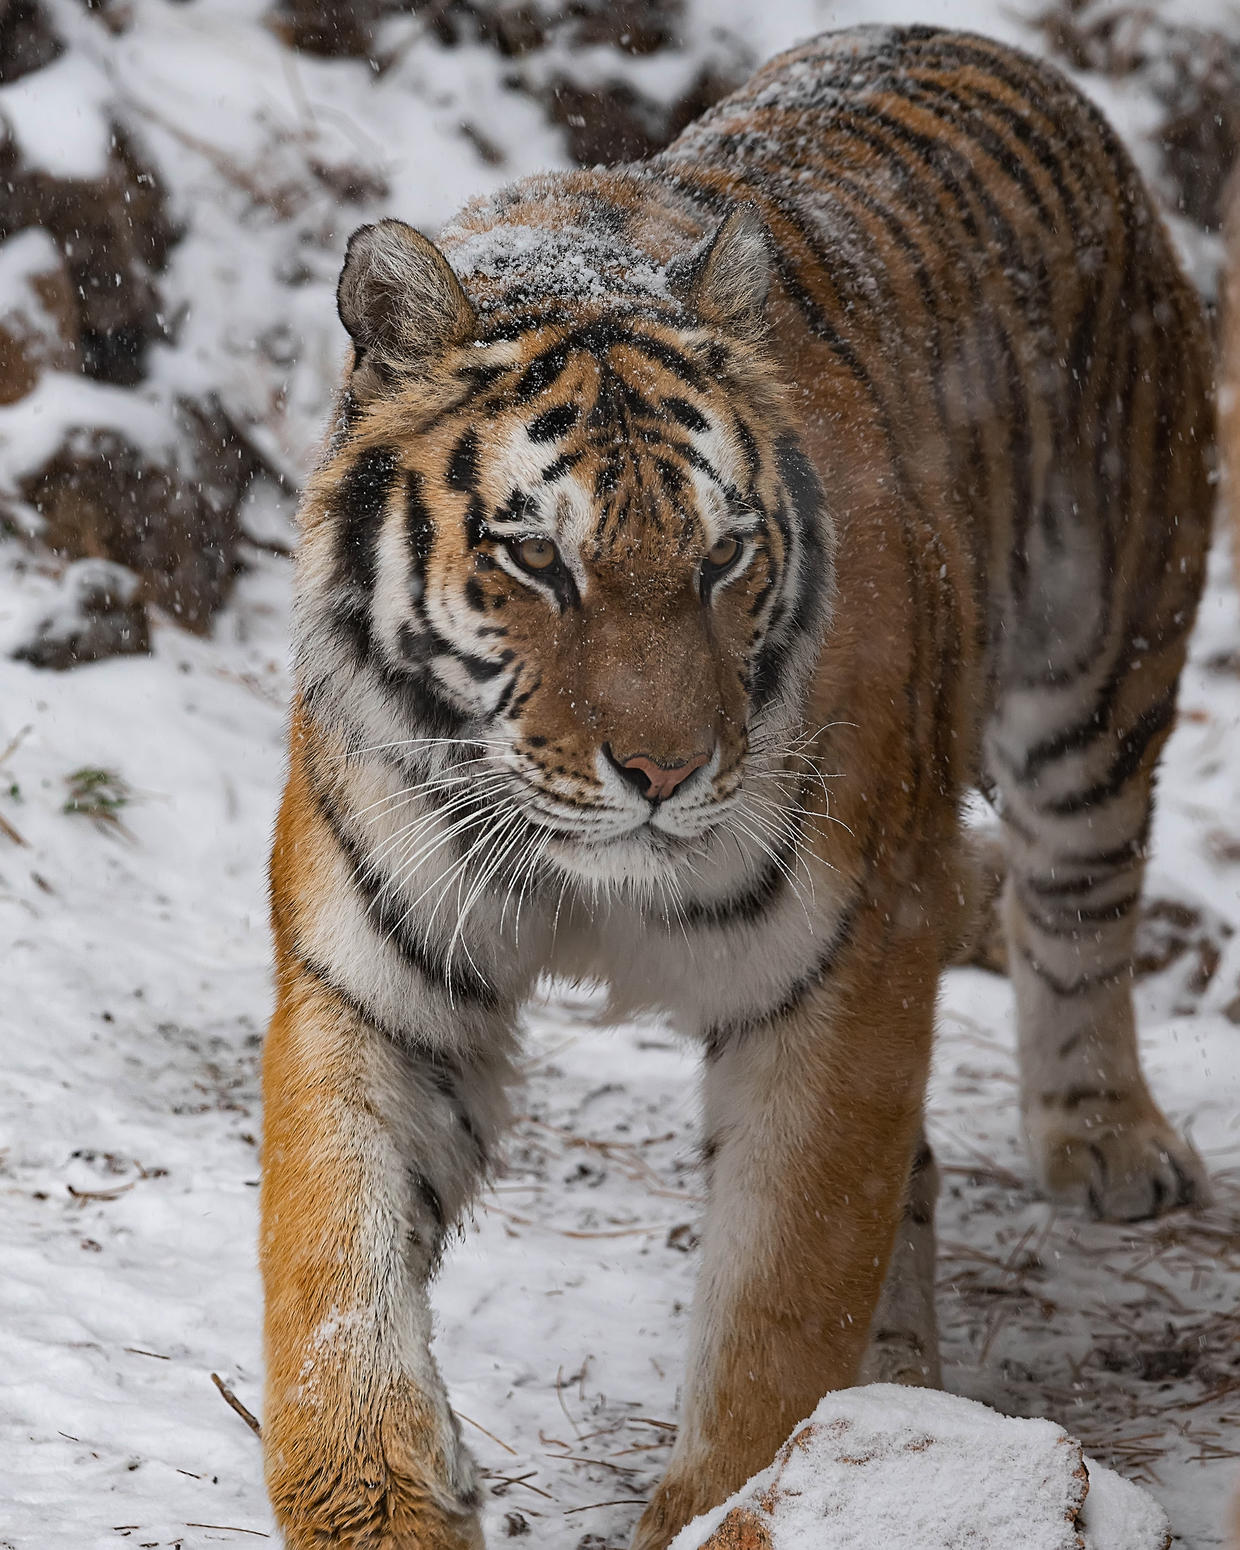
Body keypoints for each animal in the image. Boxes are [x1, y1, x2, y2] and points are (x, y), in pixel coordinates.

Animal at [258, 24, 1209, 1550]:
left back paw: (1103, 1137)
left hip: (1102, 663)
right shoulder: (374, 980)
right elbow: (334, 1273)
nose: (664, 769)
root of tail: (987, 44)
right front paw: (386, 1507)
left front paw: (729, 1499)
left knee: (1079, 905)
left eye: (722, 557)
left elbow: (783, 1283)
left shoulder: (842, 968)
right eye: (536, 558)